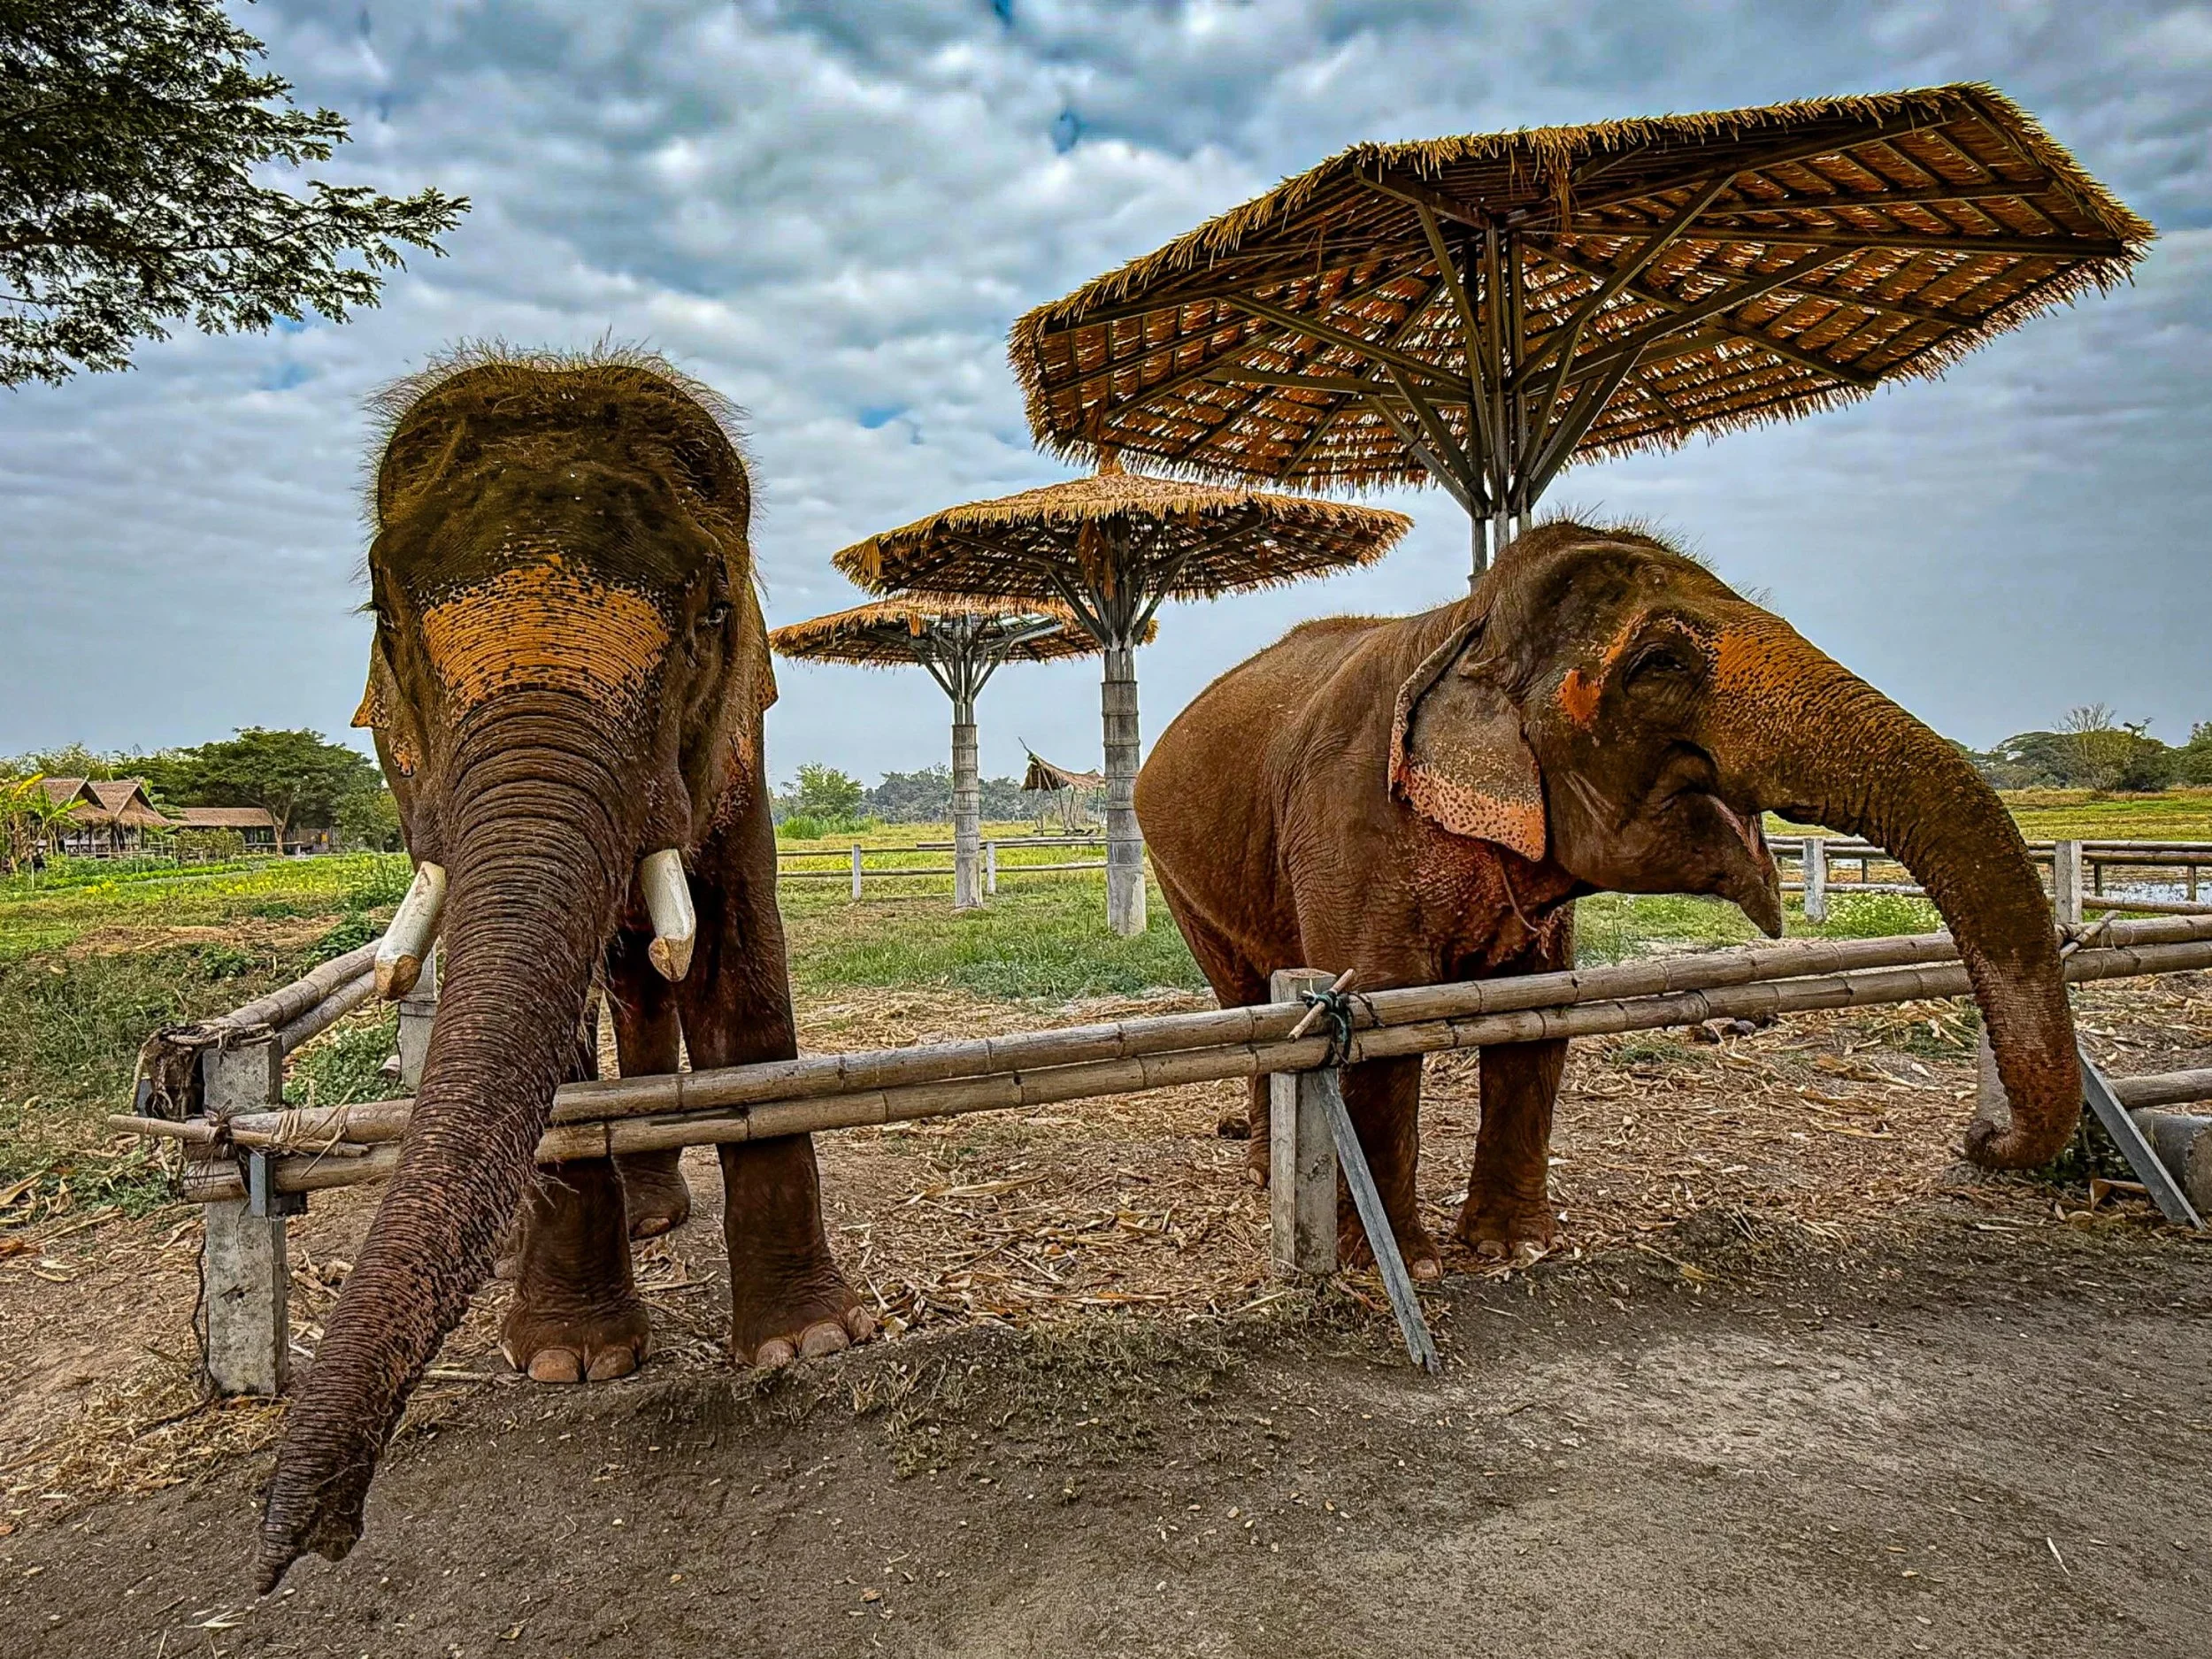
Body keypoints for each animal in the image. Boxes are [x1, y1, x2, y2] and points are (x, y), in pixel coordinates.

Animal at [256, 349, 874, 1590]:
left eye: (713, 614)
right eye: (386, 619)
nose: (302, 1546)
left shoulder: (738, 751)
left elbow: (741, 972)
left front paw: (808, 1344)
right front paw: (569, 1368)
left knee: (653, 981)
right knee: (630, 985)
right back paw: (604, 1232)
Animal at [1136, 521, 2077, 1276]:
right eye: (1661, 663)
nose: (1982, 1139)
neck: (1463, 623)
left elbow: (1537, 1020)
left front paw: (1516, 1249)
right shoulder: (1352, 818)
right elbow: (1383, 1027)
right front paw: (1404, 1266)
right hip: (1176, 868)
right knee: (1245, 996)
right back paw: (1265, 1171)